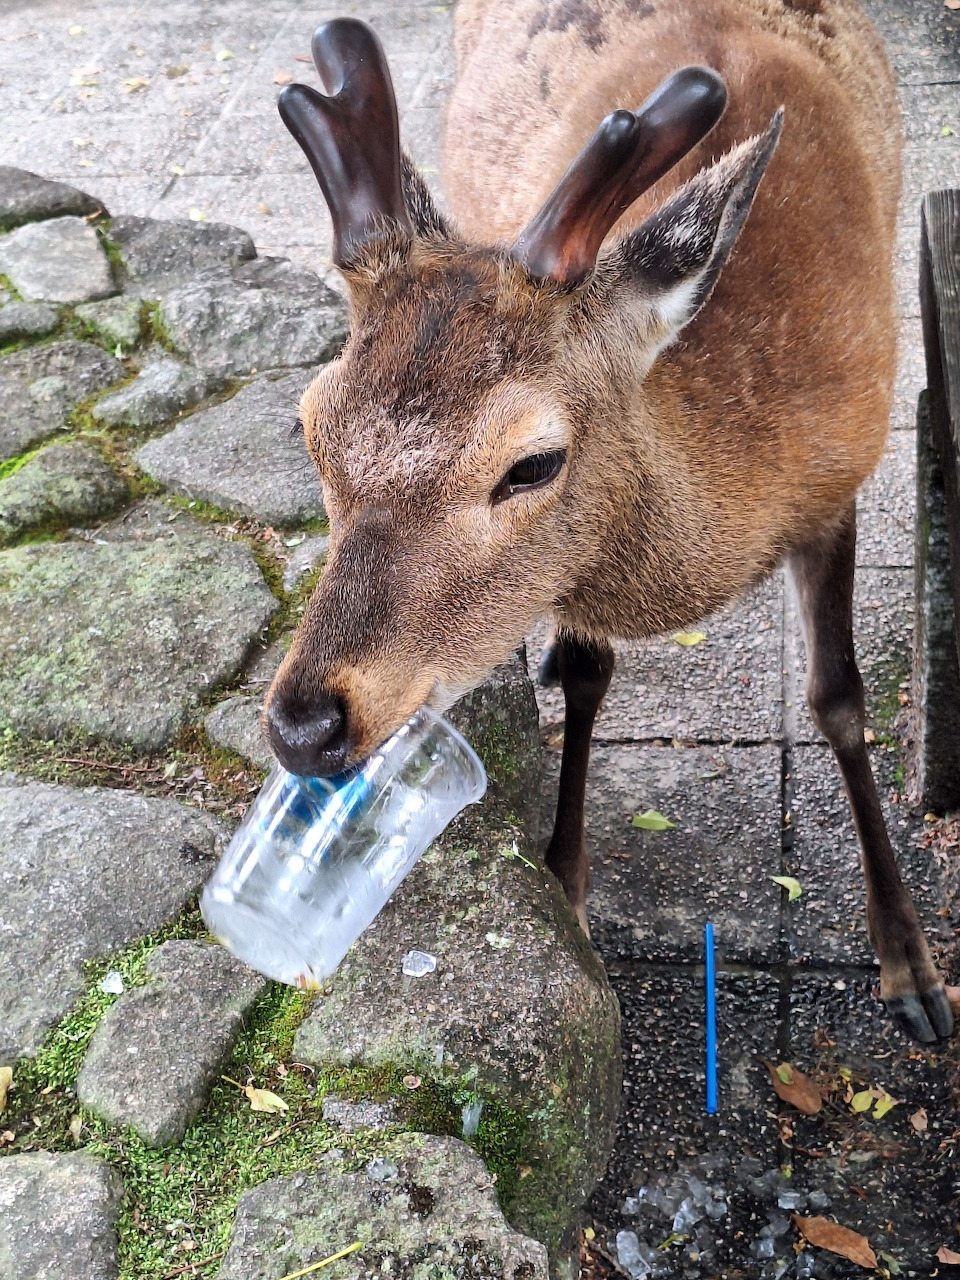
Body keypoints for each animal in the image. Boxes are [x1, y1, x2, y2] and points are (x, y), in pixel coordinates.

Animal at [262, 0, 954, 1045]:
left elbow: (839, 699)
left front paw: (911, 968)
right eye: (310, 429)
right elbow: (592, 680)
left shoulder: (845, 478)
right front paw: (567, 889)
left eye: (533, 463)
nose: (305, 725)